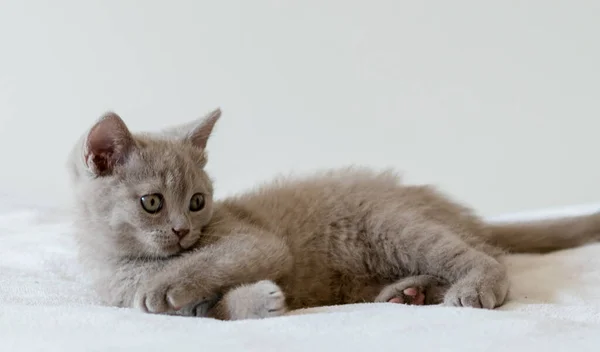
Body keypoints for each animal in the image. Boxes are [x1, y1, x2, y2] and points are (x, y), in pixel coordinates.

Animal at [67, 109, 600, 320]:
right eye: (152, 203)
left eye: (197, 202)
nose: (182, 230)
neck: (129, 264)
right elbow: (215, 309)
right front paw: (261, 300)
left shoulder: (253, 240)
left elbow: (211, 261)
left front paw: (165, 286)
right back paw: (408, 293)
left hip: (391, 226)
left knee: (486, 257)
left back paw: (469, 288)